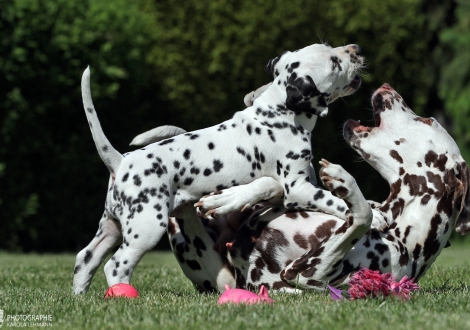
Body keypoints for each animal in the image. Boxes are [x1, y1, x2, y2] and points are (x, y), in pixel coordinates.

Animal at [72, 42, 364, 294]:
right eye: (334, 62)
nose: (356, 49)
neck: (278, 115)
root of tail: (121, 161)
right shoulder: (298, 188)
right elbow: (336, 202)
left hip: (111, 227)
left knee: (85, 259)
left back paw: (80, 297)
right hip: (146, 227)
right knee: (115, 265)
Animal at [163, 84, 468, 292]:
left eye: (427, 120)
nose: (386, 86)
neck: (401, 223)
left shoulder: (307, 272)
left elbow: (362, 216)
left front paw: (345, 181)